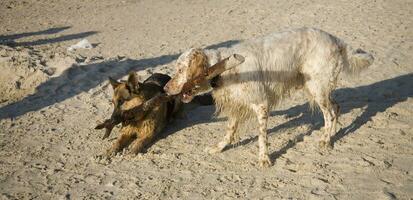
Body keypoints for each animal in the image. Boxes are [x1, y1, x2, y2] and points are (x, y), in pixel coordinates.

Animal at [163, 27, 372, 167]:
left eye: (180, 70)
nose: (165, 88)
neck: (224, 68)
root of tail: (336, 40)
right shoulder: (237, 106)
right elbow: (229, 131)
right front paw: (219, 147)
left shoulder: (261, 104)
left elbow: (262, 137)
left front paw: (264, 159)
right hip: (317, 88)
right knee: (335, 108)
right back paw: (332, 135)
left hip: (317, 88)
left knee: (328, 114)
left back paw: (325, 140)